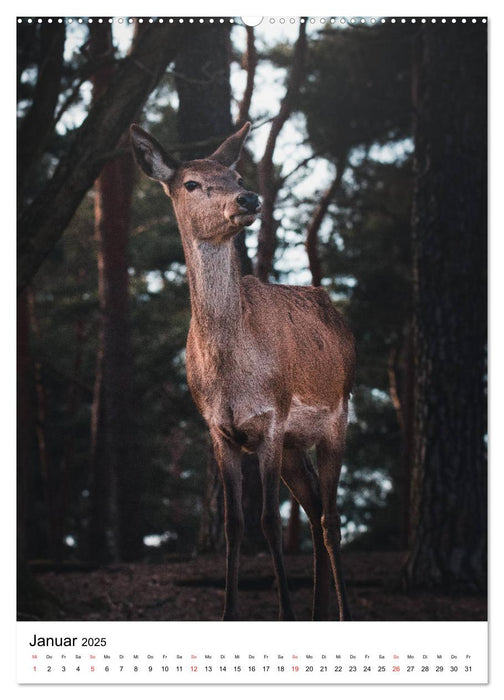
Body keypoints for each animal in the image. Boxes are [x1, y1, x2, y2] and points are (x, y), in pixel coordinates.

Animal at [132, 121, 356, 624]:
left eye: (234, 176)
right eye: (191, 183)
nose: (249, 198)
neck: (231, 374)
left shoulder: (271, 419)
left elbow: (268, 522)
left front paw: (286, 613)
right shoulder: (219, 430)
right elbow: (234, 524)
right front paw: (230, 612)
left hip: (337, 415)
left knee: (330, 518)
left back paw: (341, 613)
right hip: (295, 445)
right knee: (314, 510)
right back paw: (319, 614)